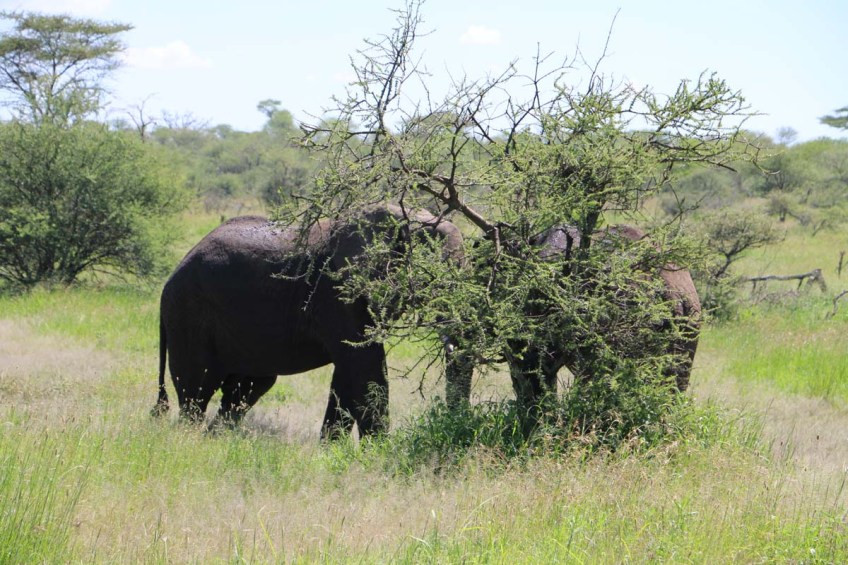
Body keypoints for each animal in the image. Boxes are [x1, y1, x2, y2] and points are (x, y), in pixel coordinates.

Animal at [151, 204, 464, 439]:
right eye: (431, 267)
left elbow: (348, 371)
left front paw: (330, 452)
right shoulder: (336, 293)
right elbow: (365, 364)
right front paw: (378, 452)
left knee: (245, 389)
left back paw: (217, 438)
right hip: (188, 314)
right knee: (196, 389)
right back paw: (190, 440)